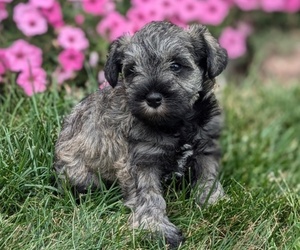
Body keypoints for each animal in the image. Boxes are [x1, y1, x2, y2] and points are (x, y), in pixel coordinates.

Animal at [54, 20, 227, 247]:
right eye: (132, 70)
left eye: (176, 66)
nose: (152, 98)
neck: (175, 124)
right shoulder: (141, 161)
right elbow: (148, 195)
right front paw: (156, 229)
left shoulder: (206, 149)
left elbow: (208, 178)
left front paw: (215, 202)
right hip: (79, 174)